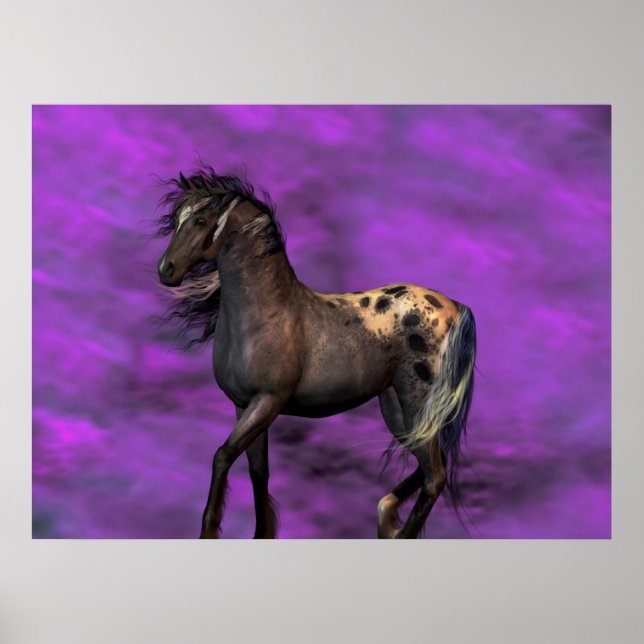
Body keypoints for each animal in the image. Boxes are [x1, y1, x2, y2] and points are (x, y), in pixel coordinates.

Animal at [154, 166, 476, 539]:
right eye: (176, 217)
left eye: (201, 219)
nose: (166, 270)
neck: (266, 313)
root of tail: (454, 306)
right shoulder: (243, 405)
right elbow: (258, 471)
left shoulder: (267, 402)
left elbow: (222, 456)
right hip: (396, 407)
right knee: (432, 467)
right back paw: (386, 516)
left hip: (417, 403)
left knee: (435, 476)